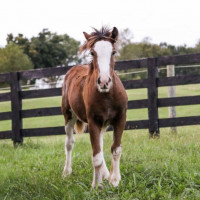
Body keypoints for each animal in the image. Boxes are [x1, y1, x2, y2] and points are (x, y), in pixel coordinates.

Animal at [61, 26, 129, 189]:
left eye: (113, 52)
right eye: (92, 53)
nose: (104, 82)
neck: (107, 96)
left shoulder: (120, 119)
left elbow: (115, 150)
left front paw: (114, 180)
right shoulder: (93, 122)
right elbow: (96, 156)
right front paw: (96, 186)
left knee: (101, 144)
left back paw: (106, 174)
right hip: (68, 115)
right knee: (69, 143)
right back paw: (66, 172)